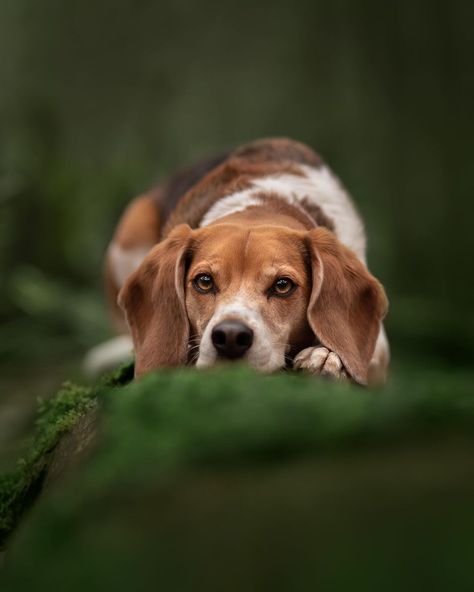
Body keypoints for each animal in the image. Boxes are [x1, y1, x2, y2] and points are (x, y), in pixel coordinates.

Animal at [86, 140, 388, 388]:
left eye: (283, 285)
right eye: (204, 281)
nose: (230, 336)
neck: (265, 201)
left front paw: (325, 356)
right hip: (131, 228)